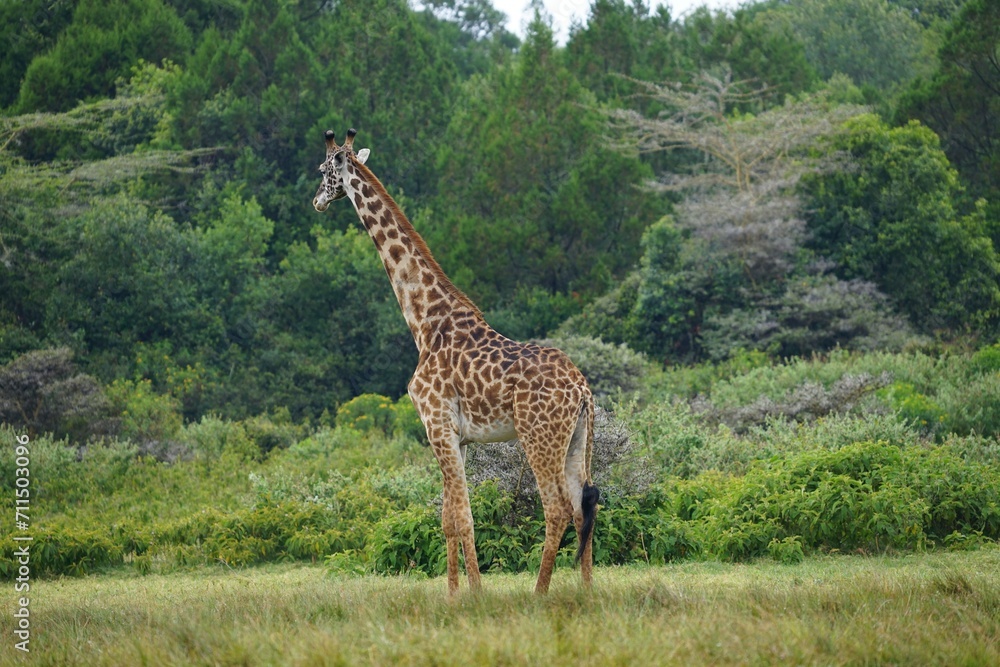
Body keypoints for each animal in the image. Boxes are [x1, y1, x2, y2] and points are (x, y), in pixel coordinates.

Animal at [312, 128, 599, 595]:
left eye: (323, 170)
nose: (317, 200)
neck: (426, 321)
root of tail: (583, 390)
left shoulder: (436, 424)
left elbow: (461, 517)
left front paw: (475, 594)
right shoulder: (458, 436)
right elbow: (448, 518)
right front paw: (453, 594)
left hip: (539, 437)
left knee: (557, 508)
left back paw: (539, 594)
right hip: (577, 439)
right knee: (583, 504)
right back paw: (587, 590)